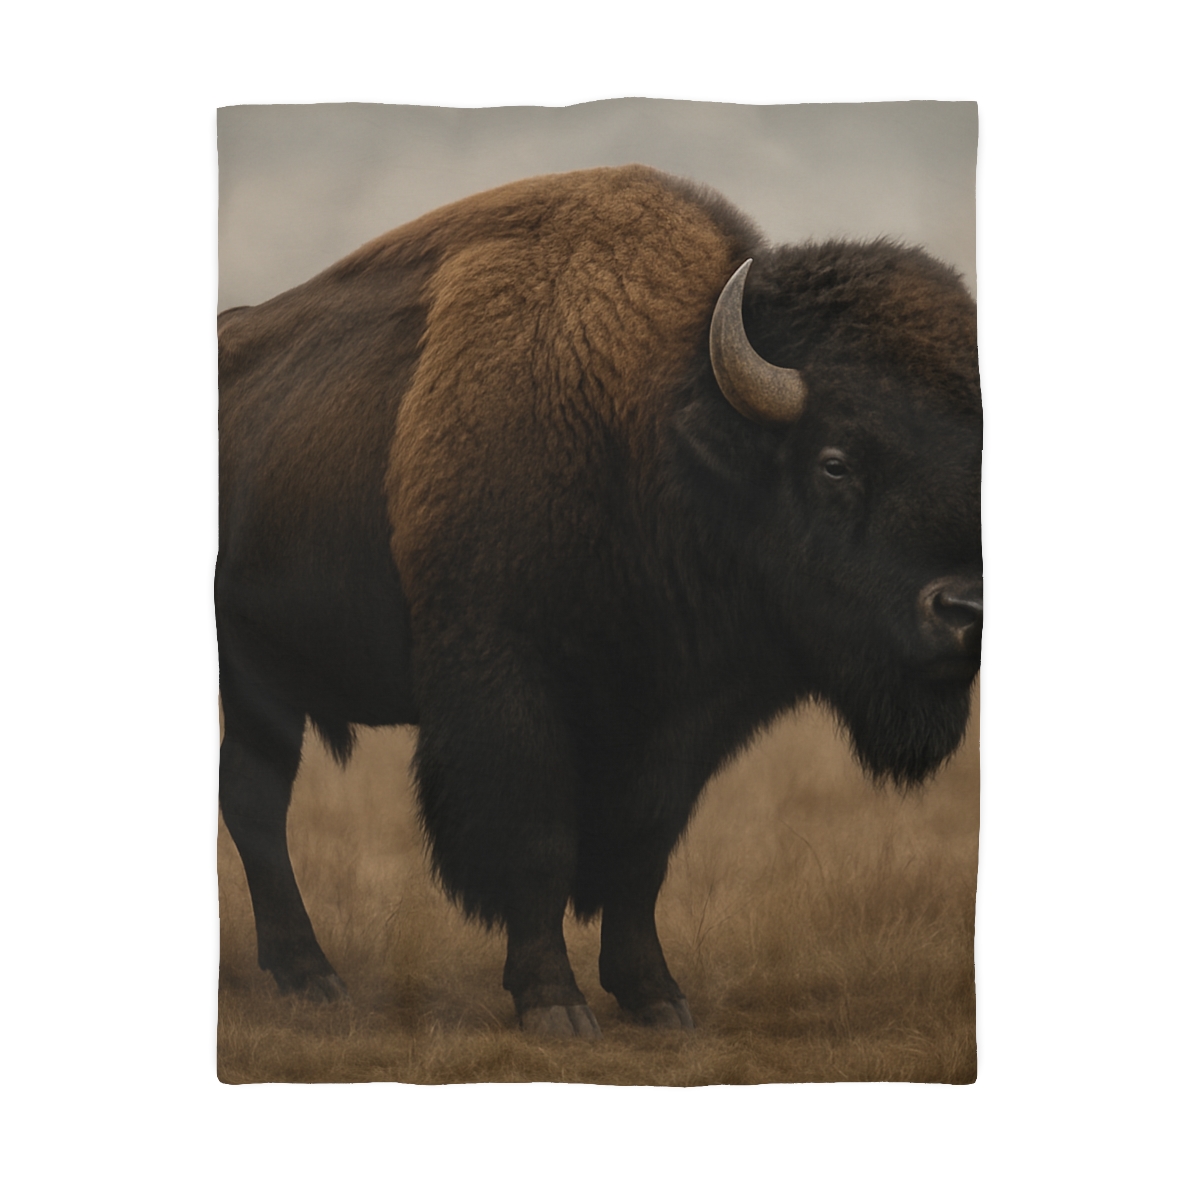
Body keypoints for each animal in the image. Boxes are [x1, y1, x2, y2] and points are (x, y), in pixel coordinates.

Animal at [217, 164, 982, 1038]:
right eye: (835, 462)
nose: (963, 612)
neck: (655, 423)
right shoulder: (507, 688)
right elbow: (537, 843)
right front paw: (555, 1004)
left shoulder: (680, 720)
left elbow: (638, 853)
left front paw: (657, 998)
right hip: (257, 681)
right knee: (258, 804)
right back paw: (313, 977)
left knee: (251, 798)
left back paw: (303, 973)